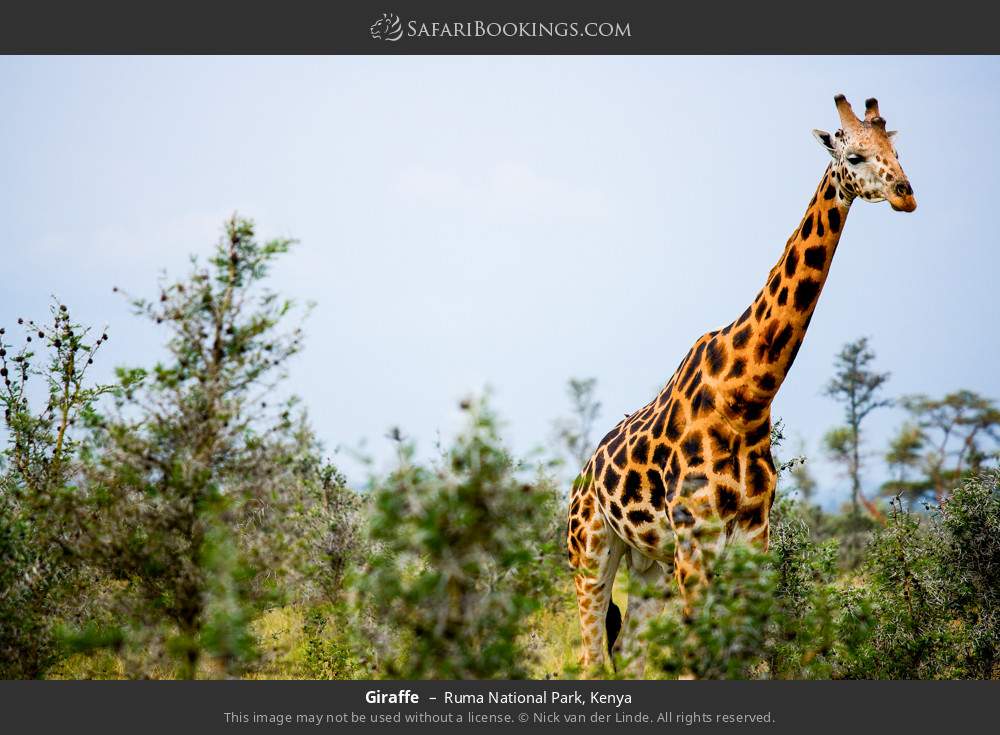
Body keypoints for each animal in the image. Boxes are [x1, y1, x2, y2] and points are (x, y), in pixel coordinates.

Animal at [566, 94, 916, 672]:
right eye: (855, 156)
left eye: (895, 149)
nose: (906, 194)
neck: (748, 397)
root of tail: (582, 477)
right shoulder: (694, 538)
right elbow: (697, 661)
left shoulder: (753, 536)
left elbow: (751, 656)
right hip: (590, 552)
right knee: (595, 655)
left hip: (647, 562)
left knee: (633, 656)